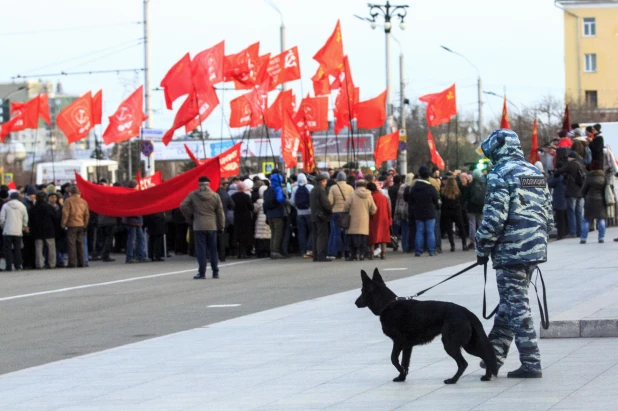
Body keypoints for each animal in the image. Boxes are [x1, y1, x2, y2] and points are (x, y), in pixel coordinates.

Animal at [354, 268, 498, 384]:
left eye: (362, 291)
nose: (355, 303)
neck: (387, 304)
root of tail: (466, 312)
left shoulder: (398, 342)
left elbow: (394, 359)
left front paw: (401, 372)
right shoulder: (407, 346)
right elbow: (405, 362)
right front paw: (402, 377)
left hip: (450, 344)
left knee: (463, 363)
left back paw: (453, 380)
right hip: (469, 344)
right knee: (485, 356)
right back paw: (487, 376)